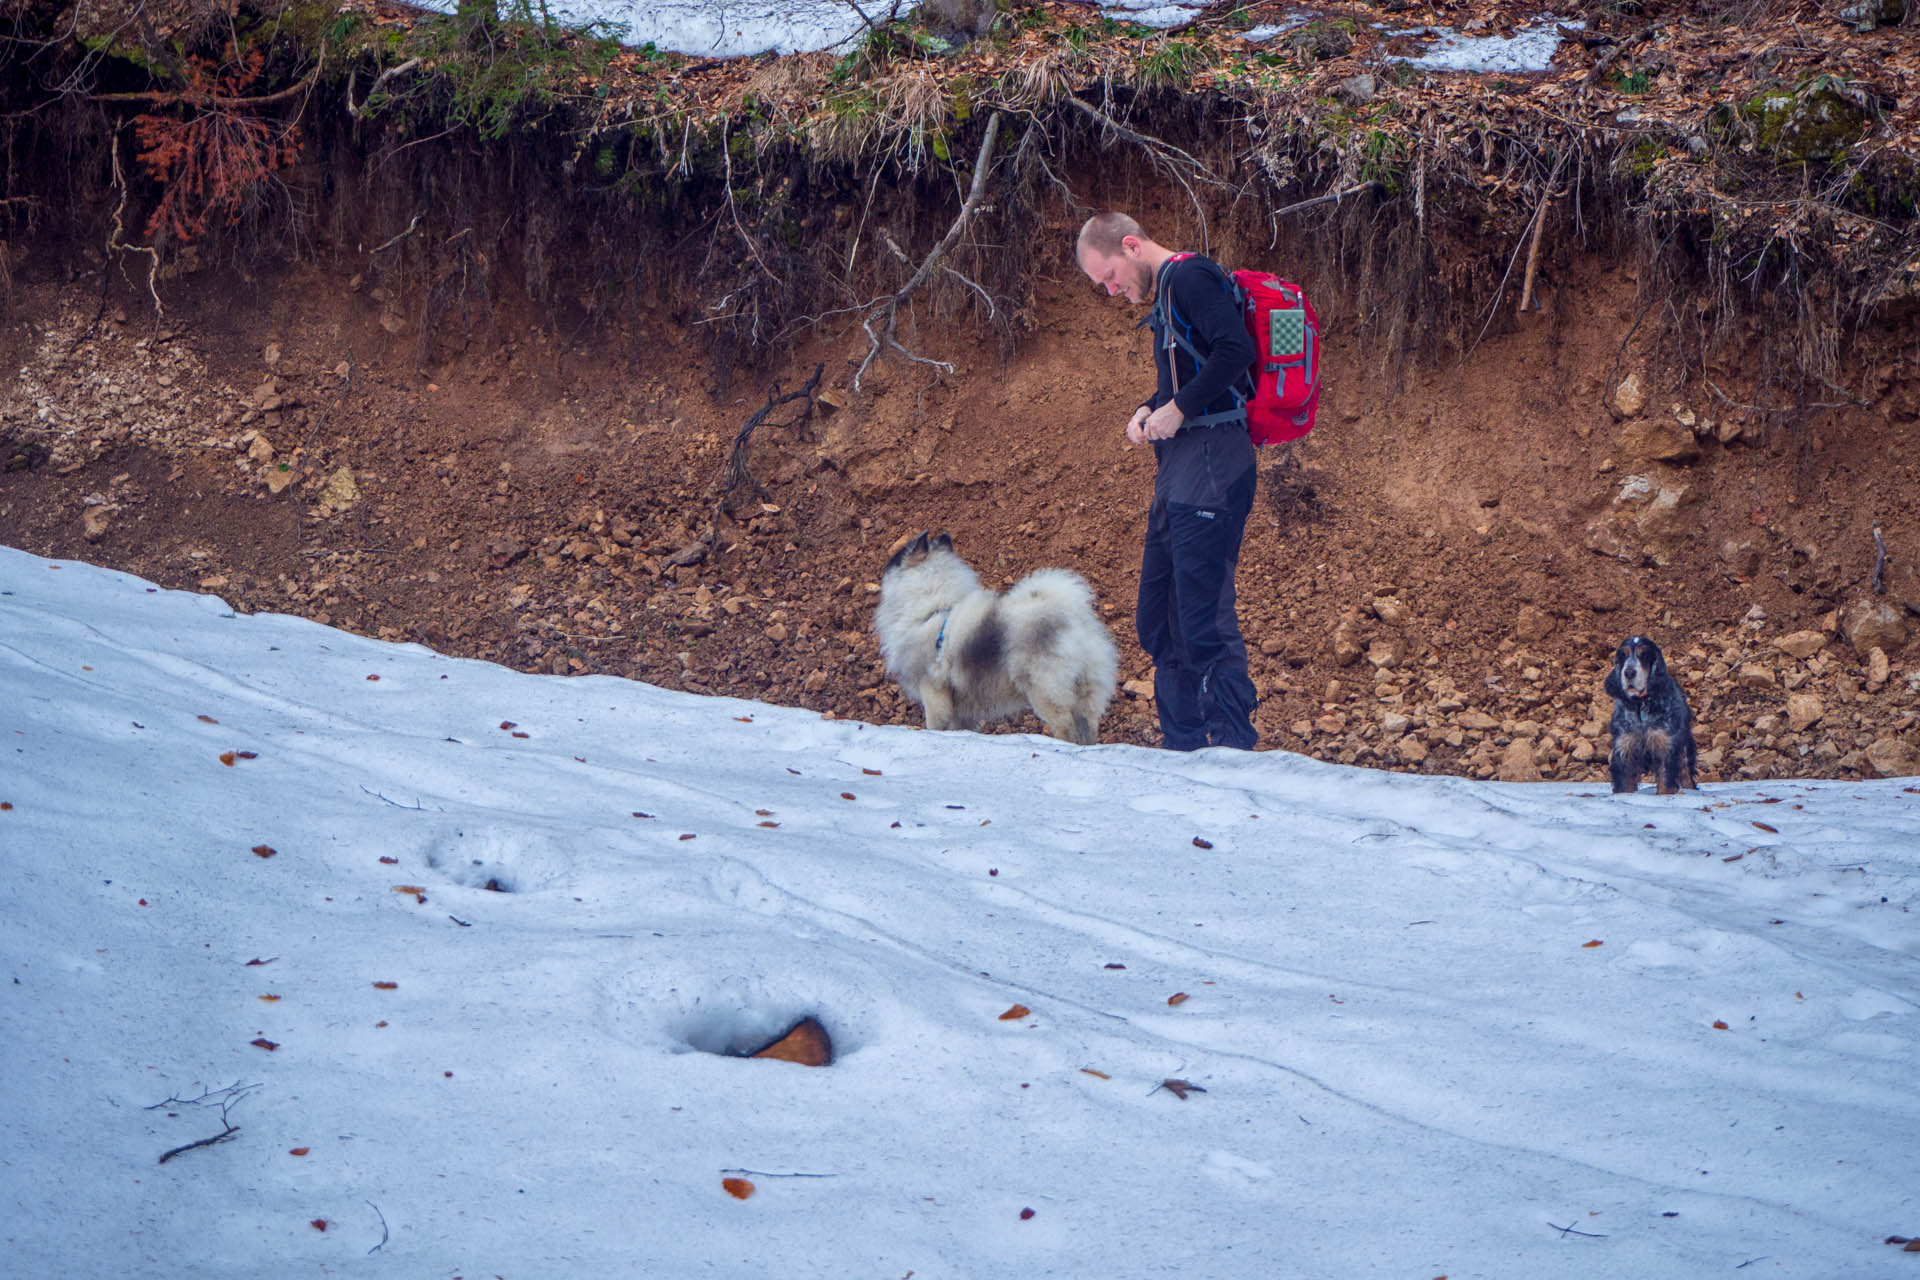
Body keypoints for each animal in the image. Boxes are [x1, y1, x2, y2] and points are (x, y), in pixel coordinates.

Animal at [875, 529, 1121, 744]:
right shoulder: (960, 707)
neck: (931, 610)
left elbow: (936, 724)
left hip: (1045, 690)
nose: (884, 566)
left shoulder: (932, 690)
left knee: (1065, 727)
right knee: (1088, 727)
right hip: (1085, 692)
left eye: (896, 559)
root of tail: (1073, 619)